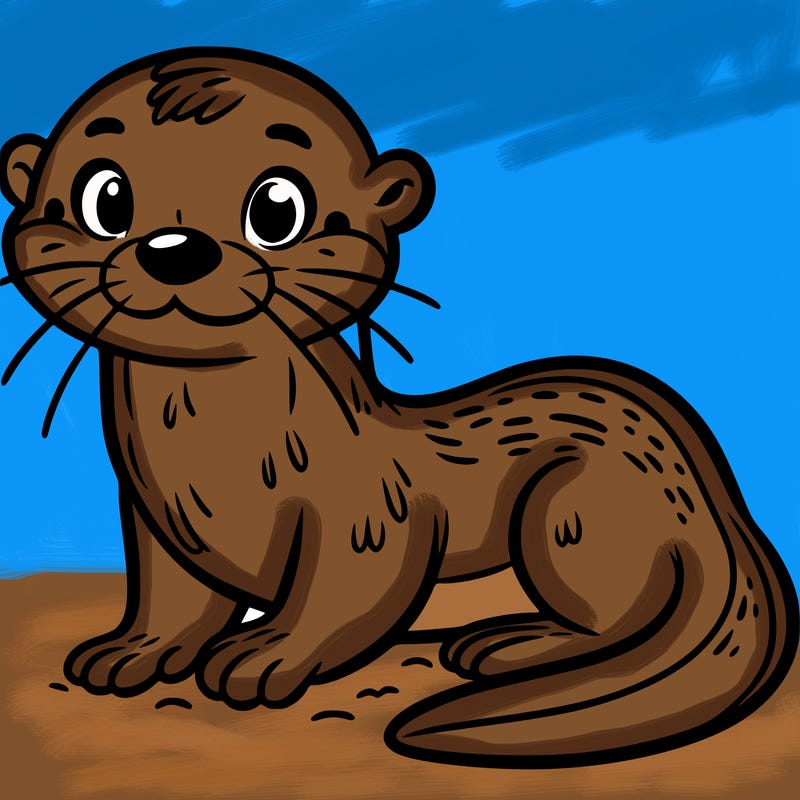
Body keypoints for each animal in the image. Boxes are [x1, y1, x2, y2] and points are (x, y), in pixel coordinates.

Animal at [1, 47, 796, 768]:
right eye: (105, 197)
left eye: (277, 208)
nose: (176, 248)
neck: (217, 461)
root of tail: (716, 506)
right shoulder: (154, 520)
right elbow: (172, 599)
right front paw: (133, 648)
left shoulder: (366, 510)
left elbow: (346, 586)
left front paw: (267, 652)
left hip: (571, 509)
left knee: (615, 621)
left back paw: (512, 644)